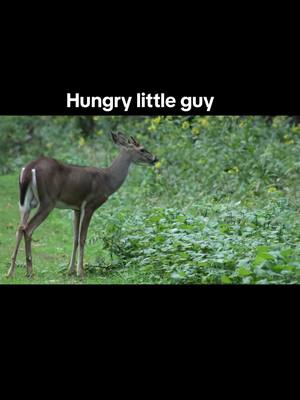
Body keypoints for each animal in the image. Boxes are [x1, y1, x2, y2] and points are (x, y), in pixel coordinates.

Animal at [5, 131, 158, 278]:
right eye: (142, 149)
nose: (155, 158)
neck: (107, 181)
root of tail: (29, 168)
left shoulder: (76, 207)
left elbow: (75, 238)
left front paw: (70, 270)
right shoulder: (90, 204)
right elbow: (83, 238)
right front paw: (80, 272)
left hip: (26, 202)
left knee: (20, 228)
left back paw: (10, 272)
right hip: (47, 201)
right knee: (28, 229)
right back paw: (30, 271)